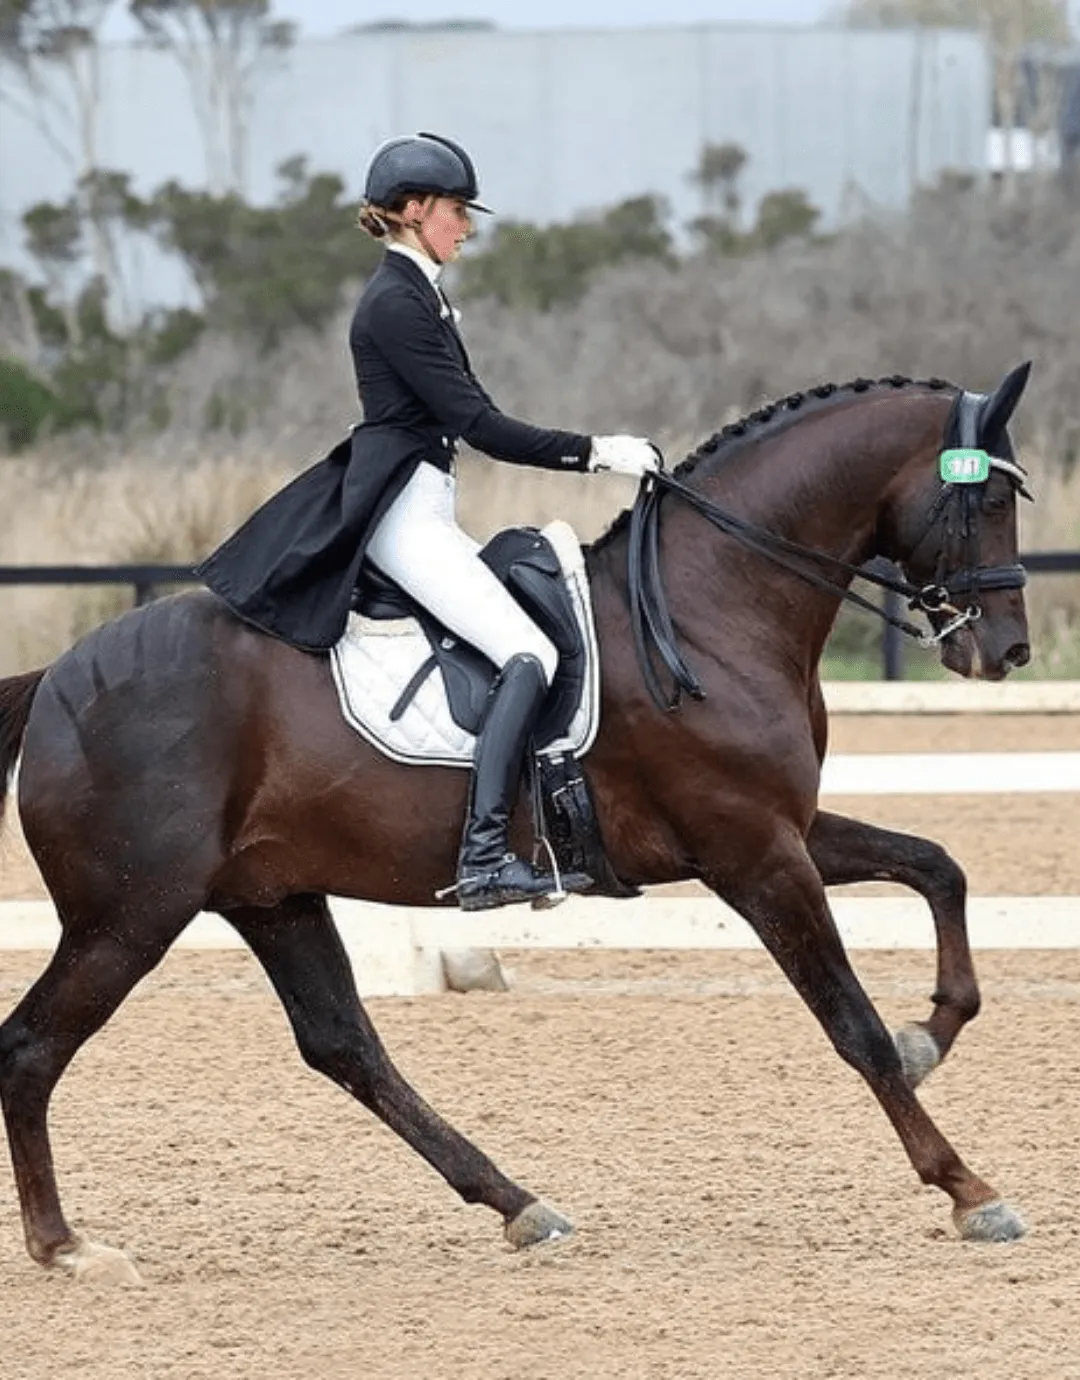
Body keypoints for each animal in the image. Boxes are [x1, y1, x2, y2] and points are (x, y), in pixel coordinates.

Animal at [0, 364, 1037, 1280]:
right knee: (32, 1049)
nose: (1008, 652)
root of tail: (55, 681)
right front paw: (968, 1188)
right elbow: (851, 1022)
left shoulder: (783, 830)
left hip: (269, 897)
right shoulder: (752, 853)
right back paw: (67, 1248)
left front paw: (934, 1033)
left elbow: (938, 865)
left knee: (346, 1047)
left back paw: (519, 1205)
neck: (708, 608)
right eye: (989, 499)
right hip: (130, 916)